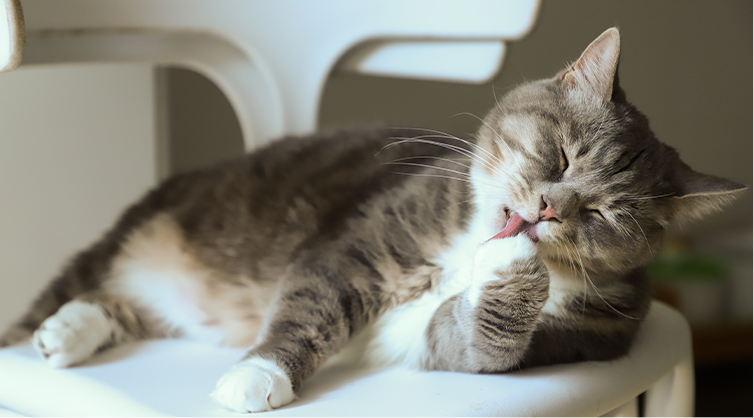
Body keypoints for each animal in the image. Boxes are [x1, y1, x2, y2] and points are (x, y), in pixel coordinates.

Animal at [0, 27, 740, 414]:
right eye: (561, 154)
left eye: (606, 213)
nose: (549, 210)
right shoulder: (361, 243)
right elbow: (311, 306)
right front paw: (256, 378)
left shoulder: (547, 340)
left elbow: (479, 340)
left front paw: (511, 269)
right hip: (136, 233)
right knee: (73, 289)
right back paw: (52, 329)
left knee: (121, 305)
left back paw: (68, 332)